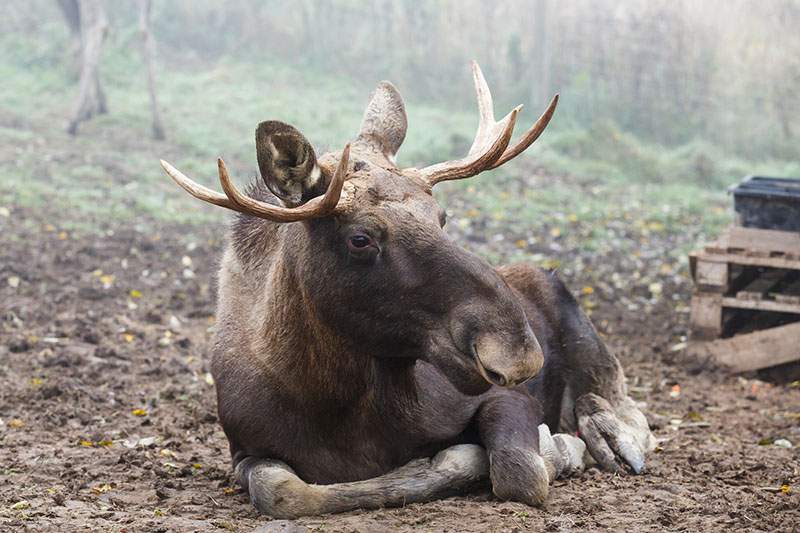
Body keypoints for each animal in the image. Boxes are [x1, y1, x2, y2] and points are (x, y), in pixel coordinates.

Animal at [159, 61, 652, 516]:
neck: (334, 402)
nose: (517, 351)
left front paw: (553, 451)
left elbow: (519, 470)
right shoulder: (246, 449)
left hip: (591, 348)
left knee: (629, 410)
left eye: (442, 217)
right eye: (360, 239)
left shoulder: (507, 395)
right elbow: (285, 492)